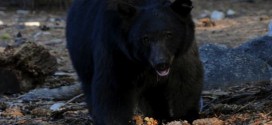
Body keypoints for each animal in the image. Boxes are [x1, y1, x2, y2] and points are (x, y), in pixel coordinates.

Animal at [66, 0, 202, 124]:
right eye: (145, 39)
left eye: (169, 34)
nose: (161, 63)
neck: (145, 64)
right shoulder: (116, 50)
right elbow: (113, 89)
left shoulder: (182, 54)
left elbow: (186, 80)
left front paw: (187, 116)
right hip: (82, 56)